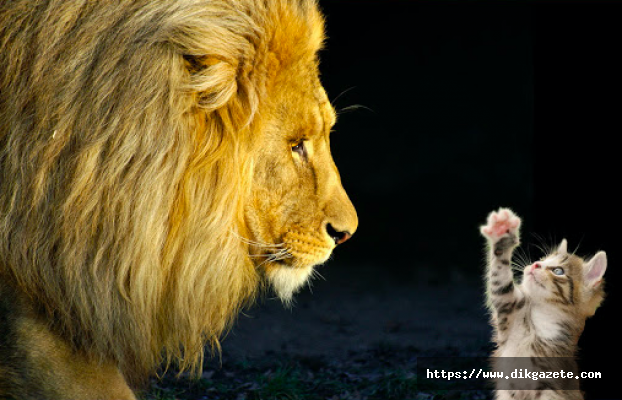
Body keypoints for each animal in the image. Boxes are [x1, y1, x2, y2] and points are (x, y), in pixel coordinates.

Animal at [480, 208, 608, 398]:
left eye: (558, 271)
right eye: (542, 259)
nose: (535, 265)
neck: (536, 325)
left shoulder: (550, 386)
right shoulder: (508, 306)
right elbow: (500, 278)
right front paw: (502, 233)